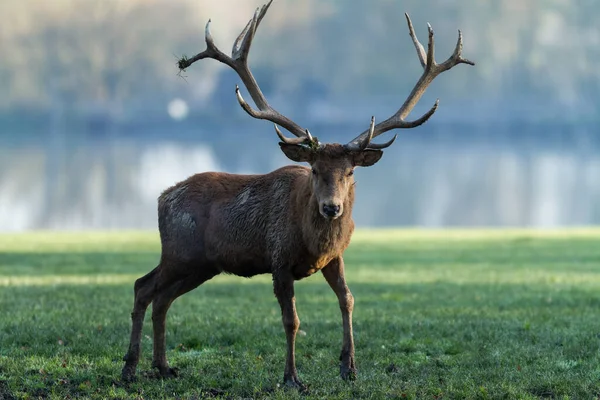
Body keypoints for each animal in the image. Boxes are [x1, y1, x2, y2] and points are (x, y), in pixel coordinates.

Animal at [120, 0, 474, 388]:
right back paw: (130, 368)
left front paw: (349, 367)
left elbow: (348, 300)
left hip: (201, 265)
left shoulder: (336, 257)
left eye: (350, 172)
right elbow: (292, 320)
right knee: (142, 287)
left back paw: (163, 366)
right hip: (180, 252)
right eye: (315, 169)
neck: (311, 240)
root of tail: (161, 198)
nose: (332, 208)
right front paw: (291, 377)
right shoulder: (279, 259)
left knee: (161, 298)